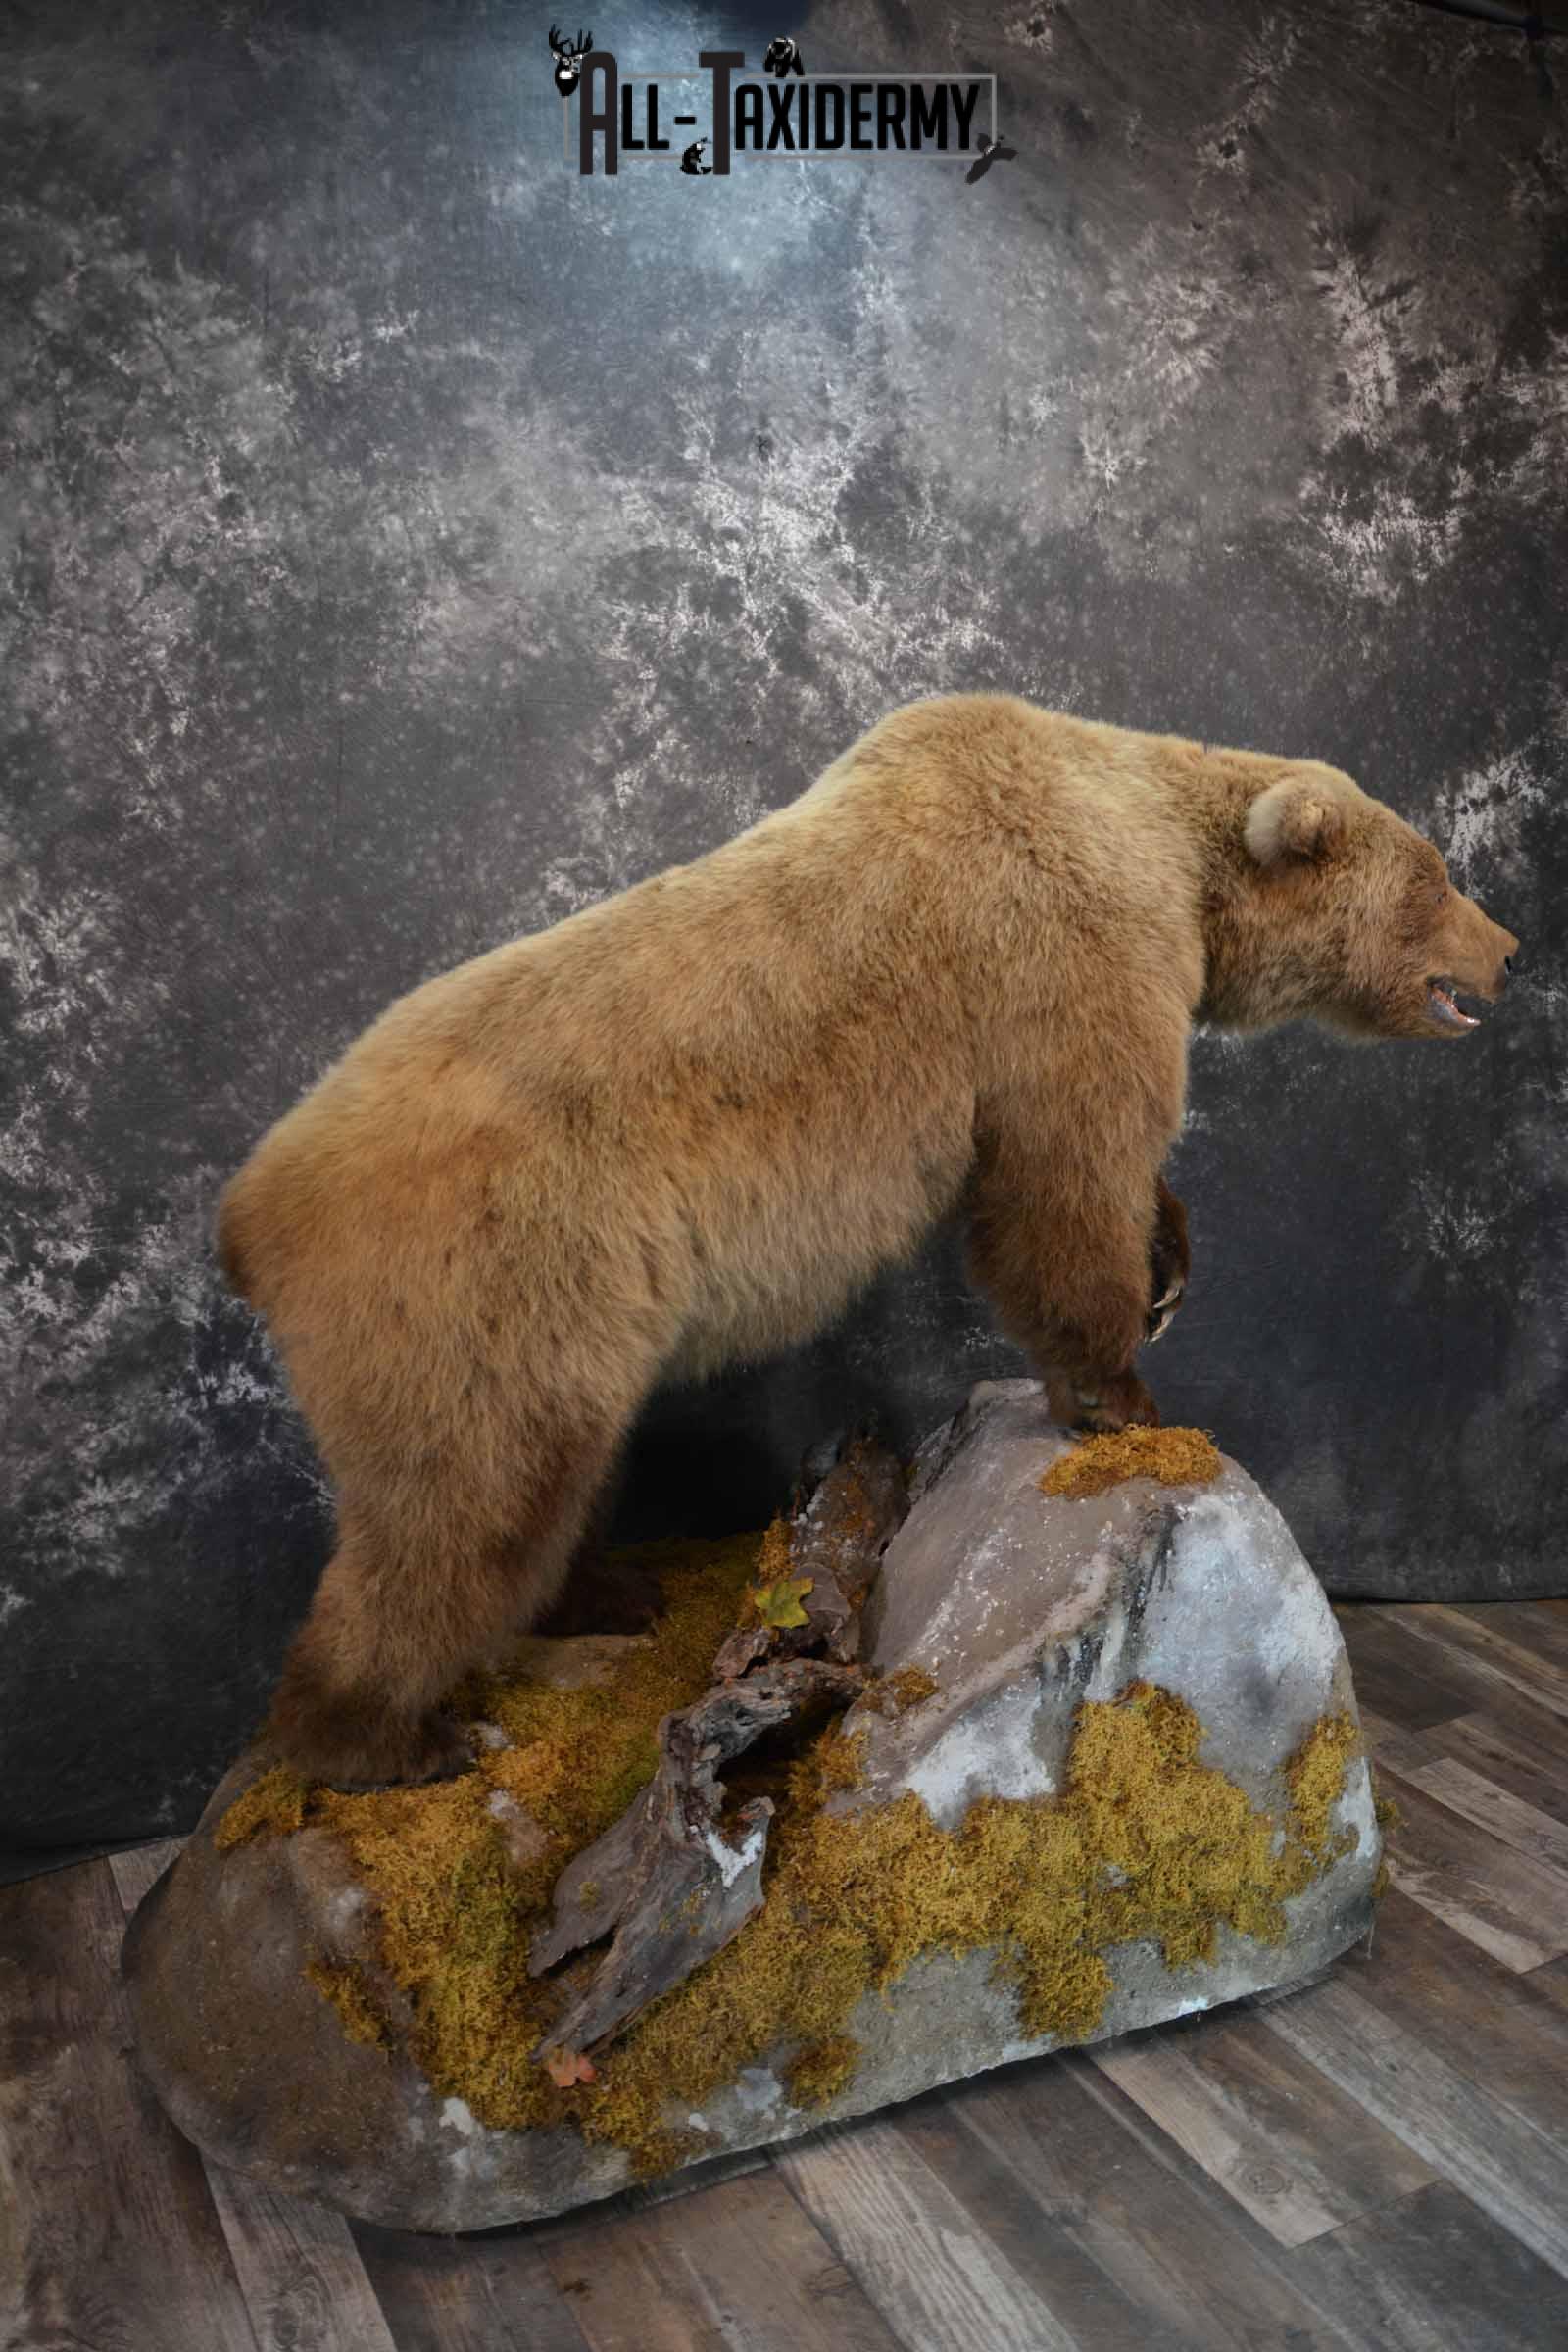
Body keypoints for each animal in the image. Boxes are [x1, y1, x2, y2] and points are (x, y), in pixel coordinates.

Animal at [216, 692, 1519, 1789]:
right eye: (1437, 873)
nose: (1507, 949)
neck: (1160, 848)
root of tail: (247, 1209)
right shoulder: (1063, 961)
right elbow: (1065, 1175)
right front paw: (1123, 1394)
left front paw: (1170, 1263)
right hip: (480, 1270)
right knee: (462, 1499)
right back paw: (383, 1740)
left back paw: (611, 1589)